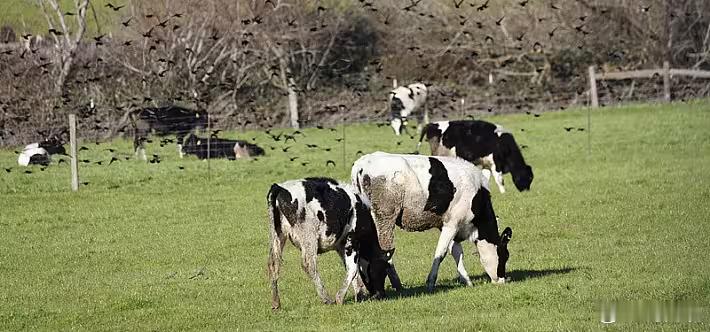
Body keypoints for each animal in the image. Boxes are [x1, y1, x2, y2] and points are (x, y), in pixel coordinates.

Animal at [268, 178, 400, 310]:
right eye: (381, 270)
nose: (380, 295)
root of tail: (279, 187)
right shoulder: (352, 240)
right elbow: (353, 269)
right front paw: (340, 298)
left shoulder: (341, 246)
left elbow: (352, 268)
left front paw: (360, 295)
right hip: (309, 237)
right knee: (309, 265)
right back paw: (326, 299)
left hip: (277, 236)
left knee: (273, 264)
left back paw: (275, 303)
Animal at [354, 152, 516, 292]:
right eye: (505, 255)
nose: (502, 281)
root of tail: (362, 163)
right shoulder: (452, 224)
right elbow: (441, 253)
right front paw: (431, 282)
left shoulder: (447, 225)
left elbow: (457, 252)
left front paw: (467, 281)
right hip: (385, 218)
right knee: (385, 251)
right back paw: (397, 285)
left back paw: (360, 290)